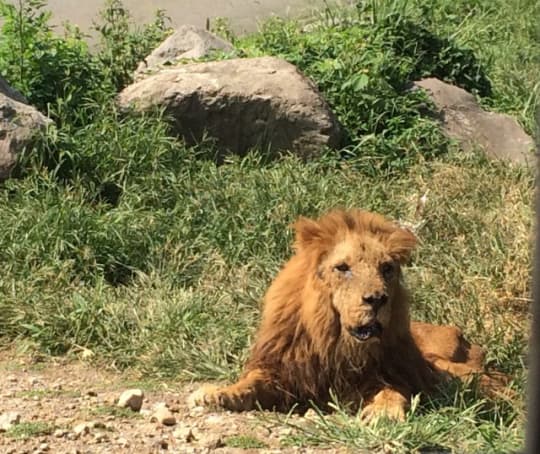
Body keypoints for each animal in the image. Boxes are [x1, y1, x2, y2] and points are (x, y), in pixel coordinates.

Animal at [189, 207, 506, 420]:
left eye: (386, 268)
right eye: (343, 268)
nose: (377, 299)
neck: (335, 340)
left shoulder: (378, 377)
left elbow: (393, 392)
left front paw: (384, 414)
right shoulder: (282, 372)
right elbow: (249, 384)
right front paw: (216, 394)